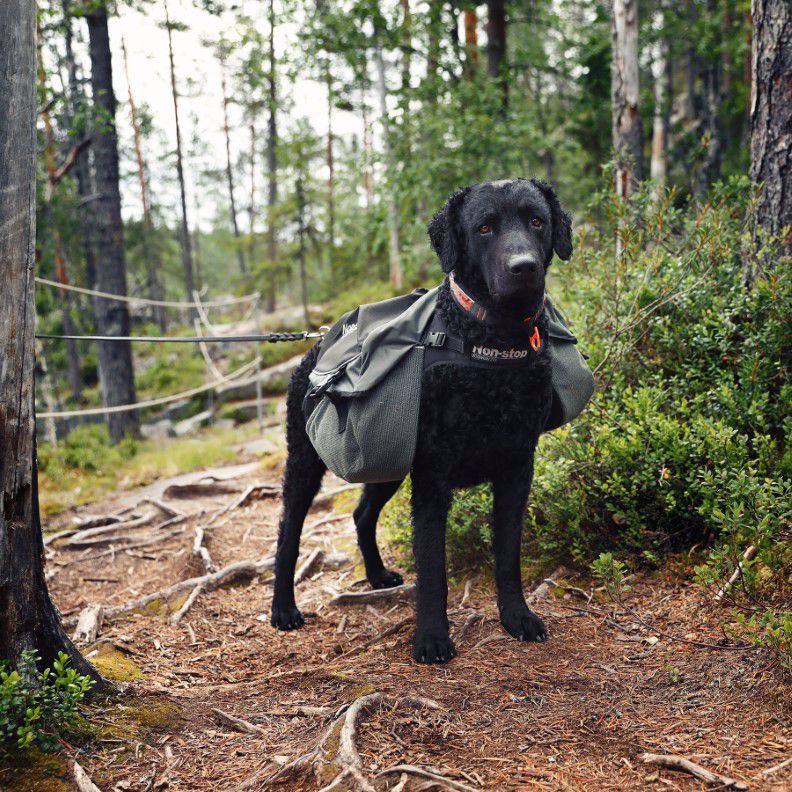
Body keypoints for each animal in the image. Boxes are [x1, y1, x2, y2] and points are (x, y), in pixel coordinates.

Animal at [270, 178, 572, 664]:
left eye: (537, 220)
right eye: (485, 227)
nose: (523, 267)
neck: (491, 346)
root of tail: (316, 344)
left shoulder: (517, 466)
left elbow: (508, 554)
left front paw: (517, 617)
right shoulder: (433, 474)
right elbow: (432, 566)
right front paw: (431, 637)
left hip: (388, 464)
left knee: (362, 513)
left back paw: (377, 575)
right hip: (305, 463)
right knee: (287, 535)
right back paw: (283, 608)